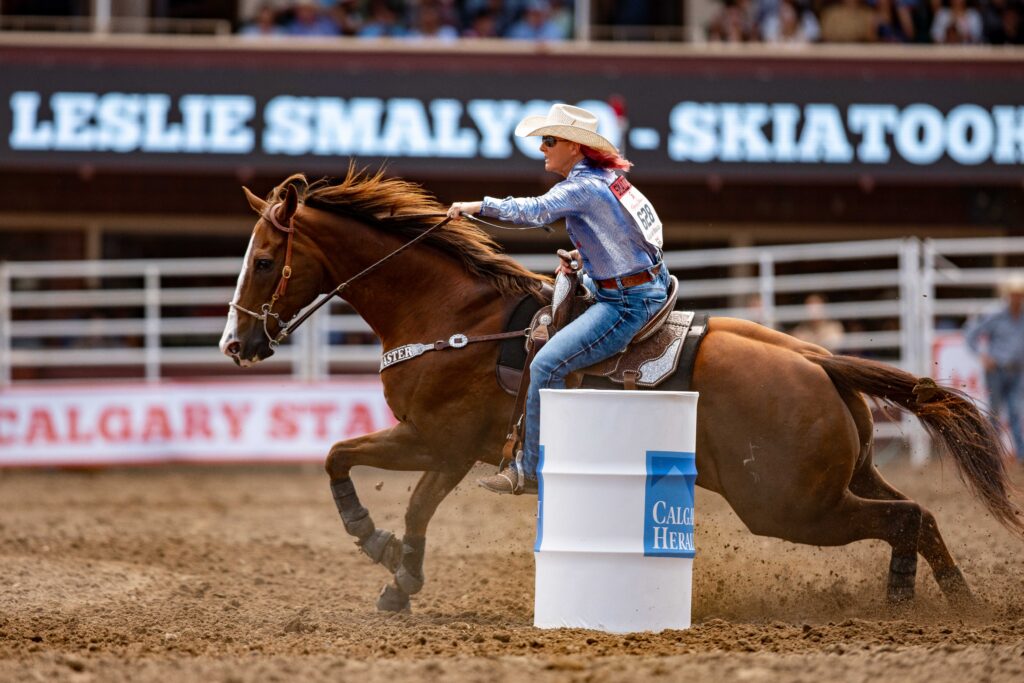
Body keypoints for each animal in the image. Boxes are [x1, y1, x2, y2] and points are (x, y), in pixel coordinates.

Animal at [220, 167, 1023, 614]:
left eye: (262, 260)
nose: (236, 344)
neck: (452, 318)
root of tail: (821, 362)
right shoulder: (433, 443)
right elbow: (345, 459)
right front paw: (387, 557)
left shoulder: (440, 444)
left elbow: (391, 489)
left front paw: (390, 563)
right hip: (843, 478)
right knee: (919, 515)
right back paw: (947, 602)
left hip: (791, 505)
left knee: (906, 518)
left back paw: (918, 599)